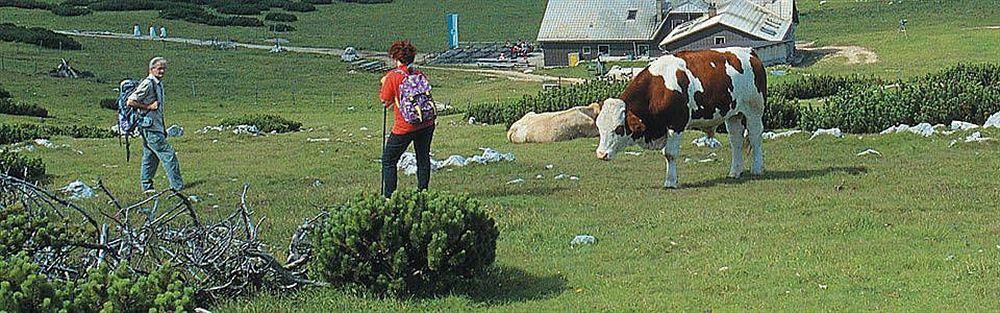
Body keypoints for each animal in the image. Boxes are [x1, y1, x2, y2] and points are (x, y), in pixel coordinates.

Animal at [592, 47, 764, 186]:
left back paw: (757, 168)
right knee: (736, 141)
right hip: (733, 115)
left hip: (754, 110)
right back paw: (735, 172)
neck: (658, 88)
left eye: (619, 128)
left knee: (755, 137)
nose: (601, 154)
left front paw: (670, 181)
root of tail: (750, 52)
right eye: (599, 128)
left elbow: (670, 154)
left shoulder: (676, 124)